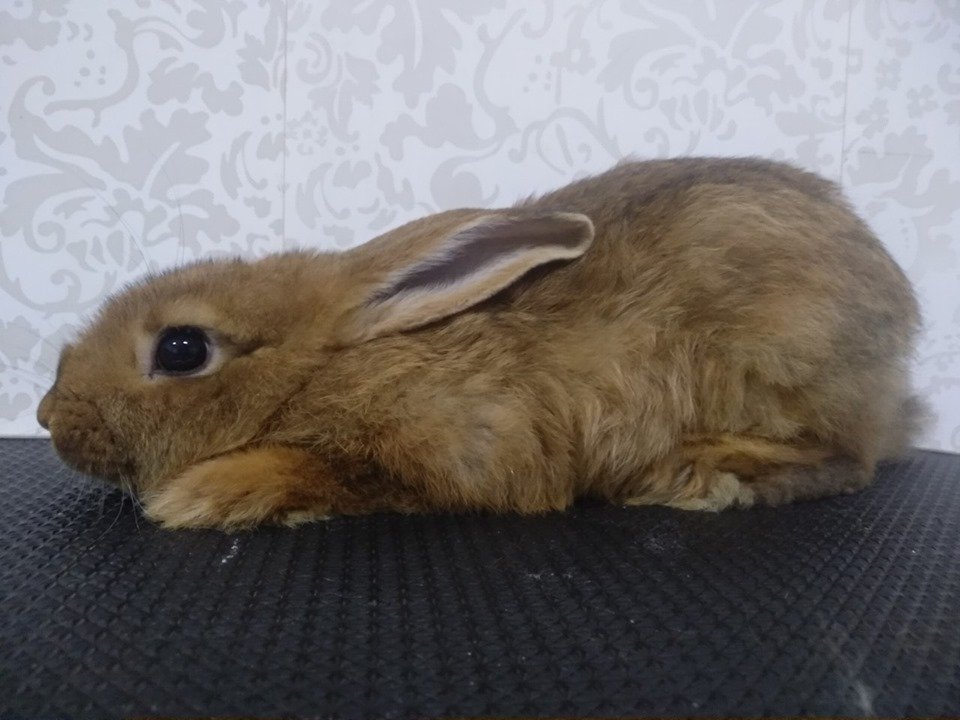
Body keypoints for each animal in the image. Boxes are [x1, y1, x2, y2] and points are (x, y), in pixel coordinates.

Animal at [36, 157, 923, 530]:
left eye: (181, 349)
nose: (46, 415)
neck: (334, 359)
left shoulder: (455, 449)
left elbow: (327, 471)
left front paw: (204, 495)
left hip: (786, 356)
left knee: (849, 459)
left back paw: (700, 473)